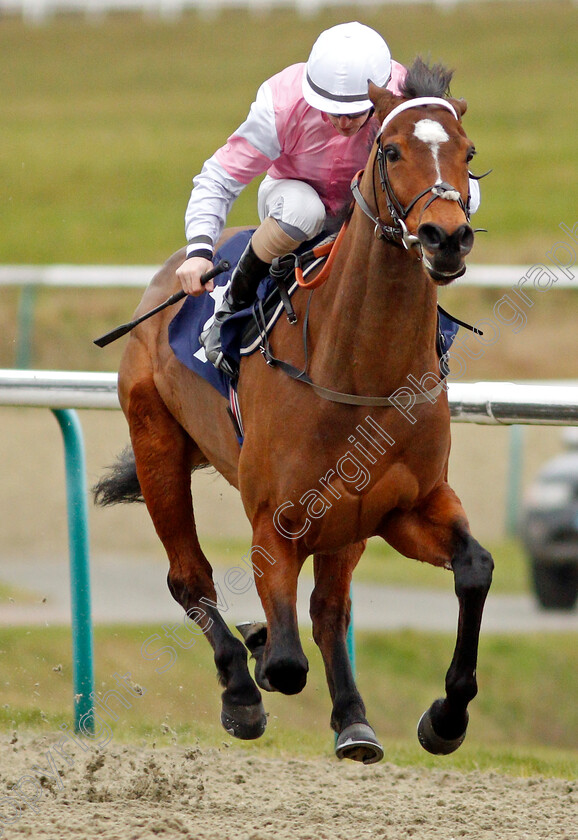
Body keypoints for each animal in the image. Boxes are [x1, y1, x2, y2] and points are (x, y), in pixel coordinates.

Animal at [94, 60, 490, 768]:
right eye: (392, 150)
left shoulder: (404, 507)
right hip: (155, 442)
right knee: (189, 578)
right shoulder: (273, 523)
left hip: (348, 520)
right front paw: (255, 659)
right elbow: (283, 663)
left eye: (468, 154)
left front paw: (445, 717)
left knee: (330, 607)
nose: (446, 237)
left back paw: (354, 720)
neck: (357, 371)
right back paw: (240, 687)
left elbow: (474, 568)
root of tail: (166, 278)